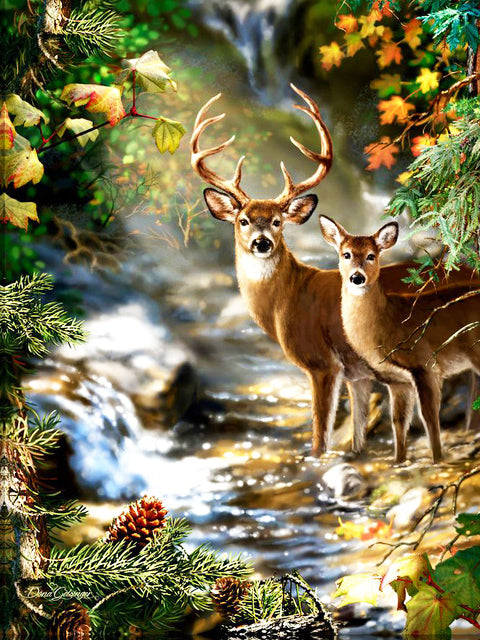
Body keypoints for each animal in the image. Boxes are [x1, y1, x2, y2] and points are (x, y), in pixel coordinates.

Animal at [319, 215, 480, 463]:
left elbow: (429, 417)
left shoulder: (425, 365)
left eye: (371, 255)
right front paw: (399, 461)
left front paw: (437, 460)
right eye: (345, 254)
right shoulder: (397, 381)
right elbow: (399, 422)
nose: (357, 277)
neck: (388, 323)